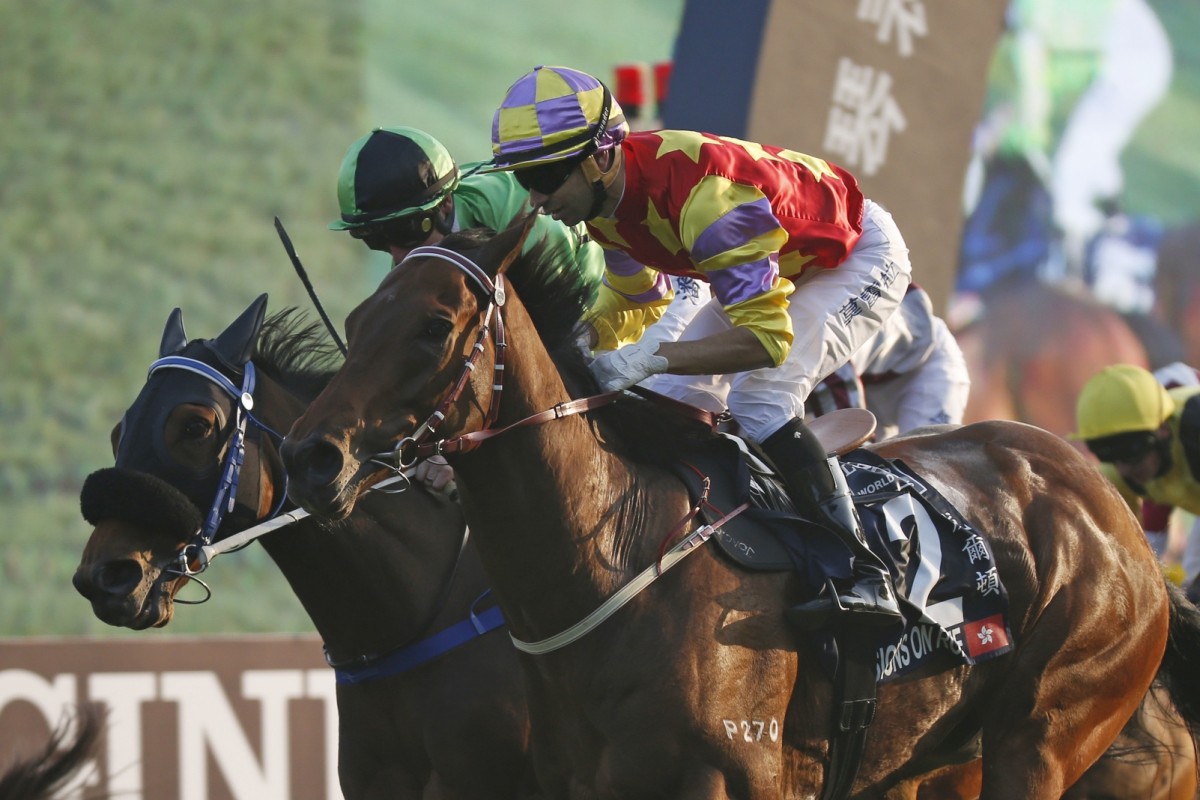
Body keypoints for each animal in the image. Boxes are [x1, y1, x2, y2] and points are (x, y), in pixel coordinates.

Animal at [283, 224, 1200, 800]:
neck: (616, 560)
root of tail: (1109, 513)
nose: (311, 457)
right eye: (358, 318)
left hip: (1043, 736)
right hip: (930, 765)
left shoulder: (727, 778)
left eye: (434, 326)